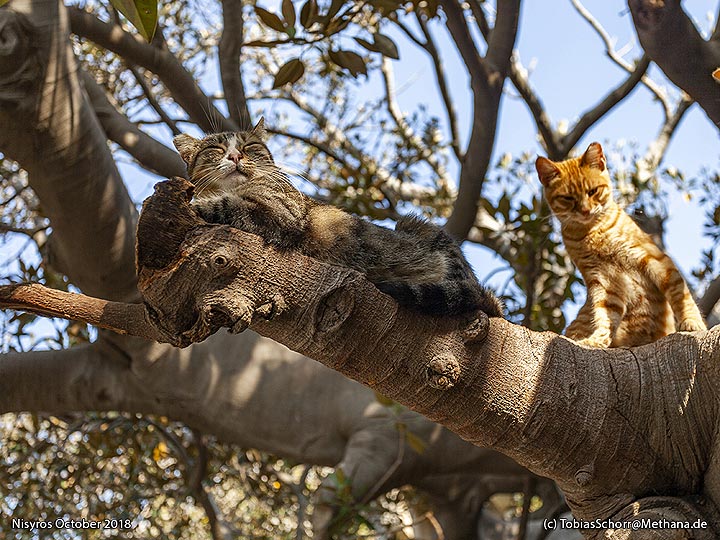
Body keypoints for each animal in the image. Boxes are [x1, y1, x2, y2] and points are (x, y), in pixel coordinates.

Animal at [172, 120, 504, 318]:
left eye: (250, 147)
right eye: (216, 149)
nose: (236, 157)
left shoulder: (279, 213)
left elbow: (227, 205)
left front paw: (201, 204)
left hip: (419, 227)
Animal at [536, 142, 704, 346]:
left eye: (592, 191)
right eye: (568, 198)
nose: (585, 211)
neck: (591, 232)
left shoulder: (654, 259)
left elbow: (680, 295)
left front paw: (692, 322)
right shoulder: (602, 280)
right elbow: (604, 315)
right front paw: (596, 341)